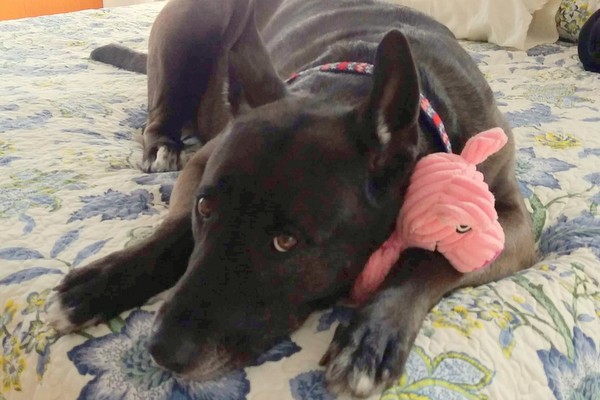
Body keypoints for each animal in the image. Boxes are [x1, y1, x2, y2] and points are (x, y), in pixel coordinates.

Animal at [47, 0, 536, 396]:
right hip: (184, 31)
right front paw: (98, 285)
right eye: (206, 208)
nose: (162, 350)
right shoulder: (202, 164)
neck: (345, 82)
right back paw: (161, 145)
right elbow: (171, 234)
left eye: (286, 243)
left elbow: (432, 258)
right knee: (159, 113)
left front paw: (371, 337)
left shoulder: (511, 224)